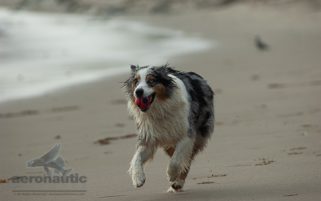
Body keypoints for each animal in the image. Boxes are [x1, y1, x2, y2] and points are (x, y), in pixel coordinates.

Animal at [124, 64, 214, 192]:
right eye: (136, 81)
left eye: (151, 81)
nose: (138, 92)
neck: (159, 108)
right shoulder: (148, 138)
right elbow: (136, 158)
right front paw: (138, 178)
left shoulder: (187, 134)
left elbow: (176, 160)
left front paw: (171, 174)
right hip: (169, 144)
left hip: (199, 134)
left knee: (187, 160)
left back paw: (178, 183)